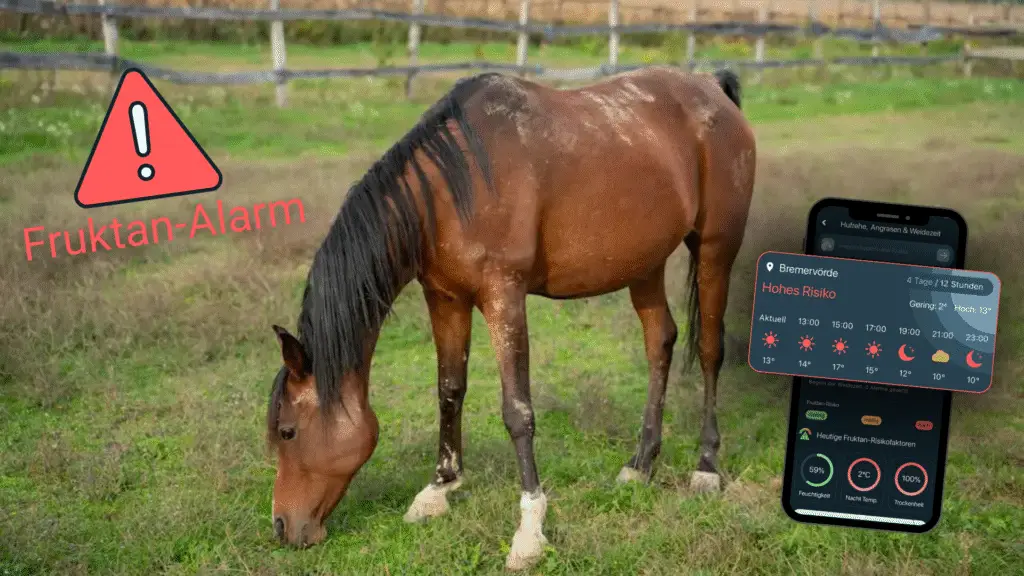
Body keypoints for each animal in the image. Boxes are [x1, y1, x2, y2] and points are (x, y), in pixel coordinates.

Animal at [265, 65, 756, 571]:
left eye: (287, 432)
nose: (282, 526)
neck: (449, 192)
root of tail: (712, 88)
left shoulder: (504, 297)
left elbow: (517, 411)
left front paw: (530, 529)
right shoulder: (446, 298)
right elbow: (449, 391)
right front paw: (438, 489)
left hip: (716, 248)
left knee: (710, 350)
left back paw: (705, 467)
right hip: (645, 264)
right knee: (660, 341)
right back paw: (640, 465)